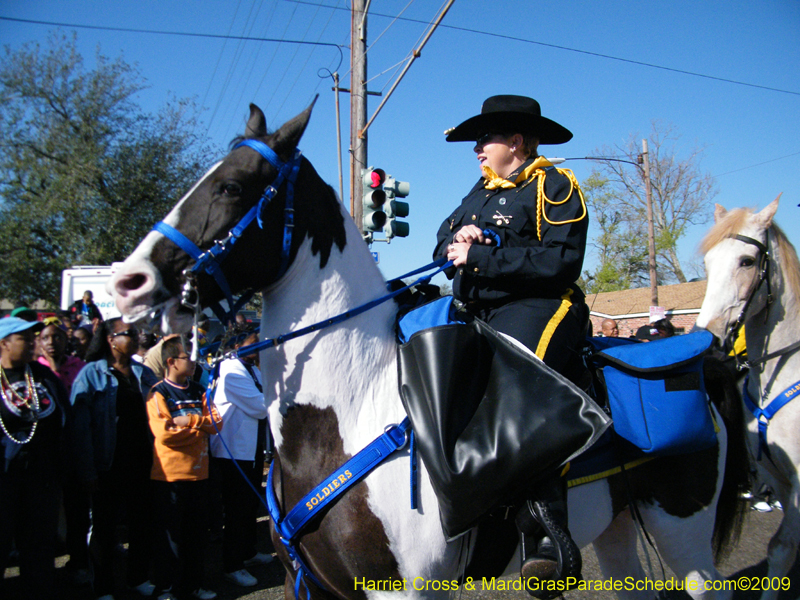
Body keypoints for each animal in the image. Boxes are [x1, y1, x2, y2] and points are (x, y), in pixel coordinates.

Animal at [112, 103, 752, 600]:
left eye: (231, 186)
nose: (129, 281)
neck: (346, 415)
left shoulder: (409, 589)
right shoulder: (310, 585)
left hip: (685, 534)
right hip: (619, 527)